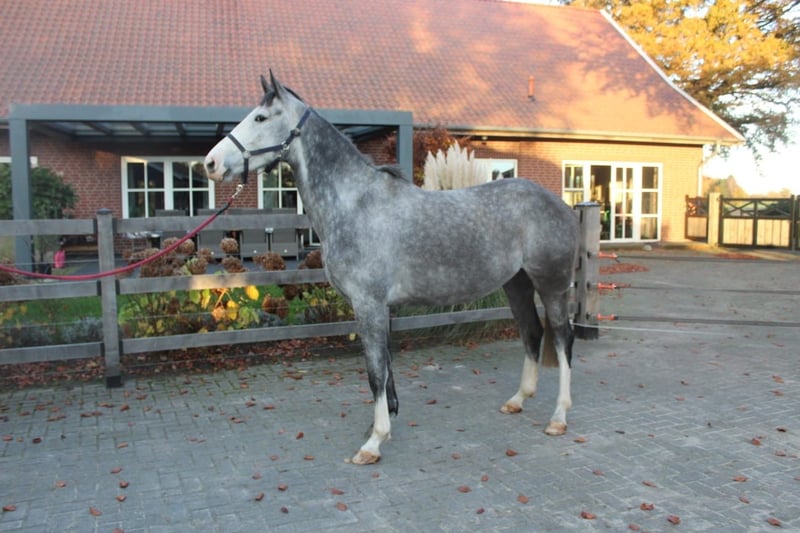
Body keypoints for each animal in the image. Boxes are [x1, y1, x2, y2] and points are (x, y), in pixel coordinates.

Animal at [204, 72, 580, 465]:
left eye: (260, 118)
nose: (210, 163)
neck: (356, 204)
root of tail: (563, 206)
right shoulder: (378, 307)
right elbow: (385, 369)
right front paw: (382, 425)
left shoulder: (368, 304)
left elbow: (375, 371)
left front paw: (373, 442)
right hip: (517, 284)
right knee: (532, 333)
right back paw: (518, 400)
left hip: (552, 286)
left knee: (562, 339)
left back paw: (558, 417)